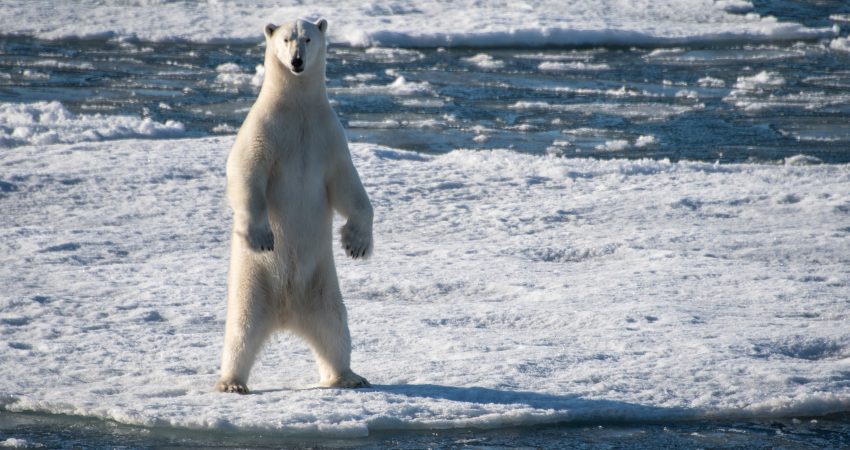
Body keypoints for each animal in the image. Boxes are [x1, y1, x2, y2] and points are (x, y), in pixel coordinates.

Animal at [215, 17, 372, 394]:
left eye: (308, 38)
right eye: (286, 39)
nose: (297, 61)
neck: (297, 108)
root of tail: (285, 314)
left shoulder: (327, 136)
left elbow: (347, 186)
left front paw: (356, 244)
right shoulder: (265, 130)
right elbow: (245, 171)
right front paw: (261, 236)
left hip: (321, 285)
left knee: (334, 327)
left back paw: (348, 376)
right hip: (252, 282)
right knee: (241, 330)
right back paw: (232, 382)